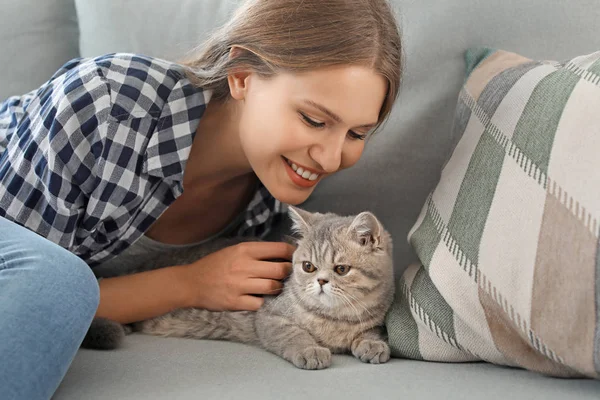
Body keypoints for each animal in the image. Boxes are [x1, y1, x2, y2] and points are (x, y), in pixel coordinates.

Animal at [83, 208, 394, 370]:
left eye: (341, 269)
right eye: (308, 266)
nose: (320, 281)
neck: (333, 319)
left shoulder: (374, 319)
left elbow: (371, 331)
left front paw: (372, 344)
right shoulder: (270, 317)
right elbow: (293, 334)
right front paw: (310, 349)